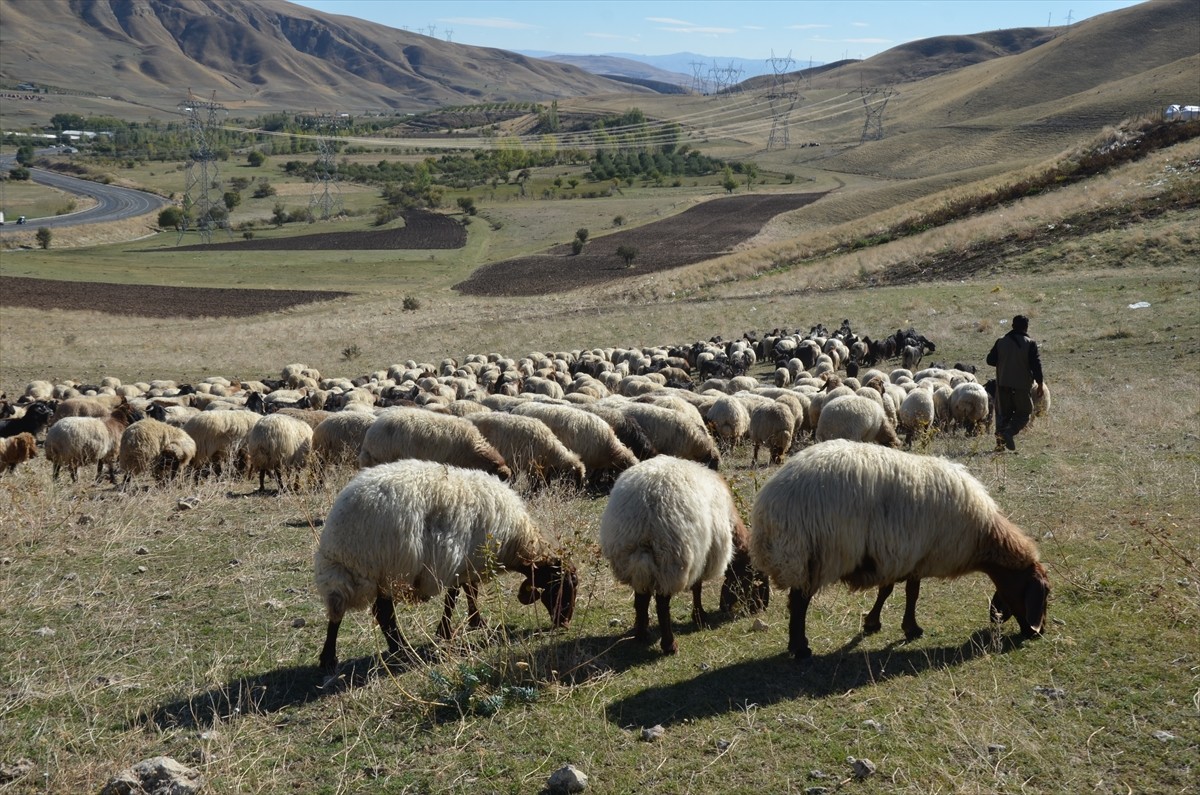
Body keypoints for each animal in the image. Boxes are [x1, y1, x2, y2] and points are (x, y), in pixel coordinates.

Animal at [309, 458, 571, 677]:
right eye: (564, 586)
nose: (565, 622)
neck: (517, 539)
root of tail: (336, 537)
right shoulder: (458, 561)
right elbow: (454, 597)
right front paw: (446, 631)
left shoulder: (467, 563)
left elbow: (469, 592)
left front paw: (475, 621)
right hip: (382, 568)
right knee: (367, 612)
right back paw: (369, 654)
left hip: (369, 574)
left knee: (360, 610)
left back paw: (387, 650)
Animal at [600, 458, 768, 658]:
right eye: (759, 577)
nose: (763, 607)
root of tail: (643, 516)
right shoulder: (703, 555)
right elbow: (697, 587)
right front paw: (700, 616)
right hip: (672, 560)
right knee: (662, 604)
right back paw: (669, 644)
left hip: (632, 558)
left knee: (641, 597)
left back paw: (641, 633)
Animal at [748, 439, 1051, 662]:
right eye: (1044, 593)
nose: (1038, 632)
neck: (981, 535)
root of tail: (768, 504)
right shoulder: (916, 555)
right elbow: (911, 593)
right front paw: (911, 628)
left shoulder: (896, 554)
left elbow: (888, 590)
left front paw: (873, 622)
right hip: (809, 555)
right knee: (799, 603)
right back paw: (801, 648)